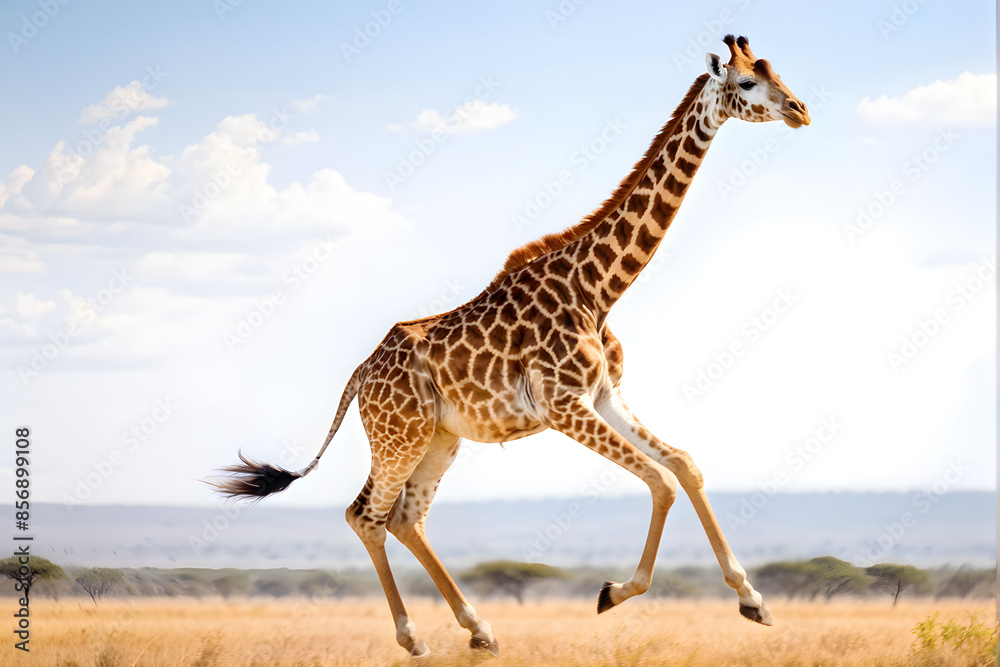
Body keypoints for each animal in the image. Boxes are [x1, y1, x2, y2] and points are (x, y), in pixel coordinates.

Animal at [211, 35, 810, 658]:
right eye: (747, 83)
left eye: (775, 71)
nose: (800, 111)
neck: (598, 288)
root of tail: (359, 373)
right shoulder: (562, 405)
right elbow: (660, 480)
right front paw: (614, 593)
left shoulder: (605, 396)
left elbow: (684, 466)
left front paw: (753, 600)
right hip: (398, 436)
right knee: (364, 514)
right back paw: (415, 638)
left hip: (439, 439)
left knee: (404, 518)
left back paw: (480, 631)